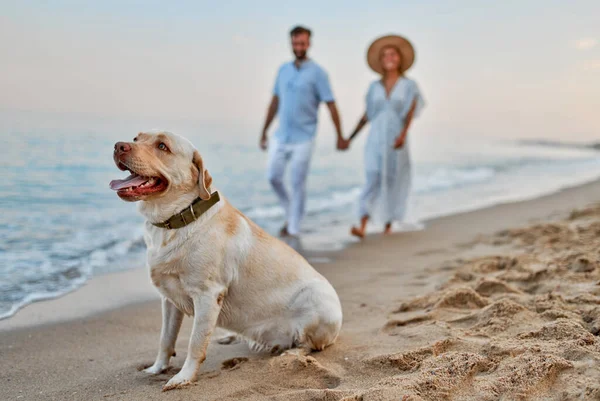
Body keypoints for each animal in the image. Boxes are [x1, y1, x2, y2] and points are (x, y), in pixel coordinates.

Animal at [108, 131, 342, 390]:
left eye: (162, 146)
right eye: (136, 138)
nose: (119, 146)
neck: (178, 219)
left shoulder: (208, 295)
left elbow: (195, 342)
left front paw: (183, 377)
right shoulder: (169, 299)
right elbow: (165, 339)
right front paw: (156, 368)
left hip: (319, 303)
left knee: (309, 345)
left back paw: (290, 354)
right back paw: (231, 337)